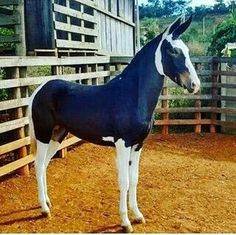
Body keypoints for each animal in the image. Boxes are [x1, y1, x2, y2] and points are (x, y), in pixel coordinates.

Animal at [28, 15, 200, 232]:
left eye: (187, 51)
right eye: (174, 51)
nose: (195, 85)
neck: (132, 96)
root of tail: (39, 90)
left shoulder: (138, 145)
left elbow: (134, 179)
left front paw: (137, 216)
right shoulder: (122, 144)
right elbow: (124, 181)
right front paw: (126, 222)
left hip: (57, 135)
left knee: (44, 165)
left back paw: (47, 203)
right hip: (43, 134)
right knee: (38, 164)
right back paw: (44, 209)